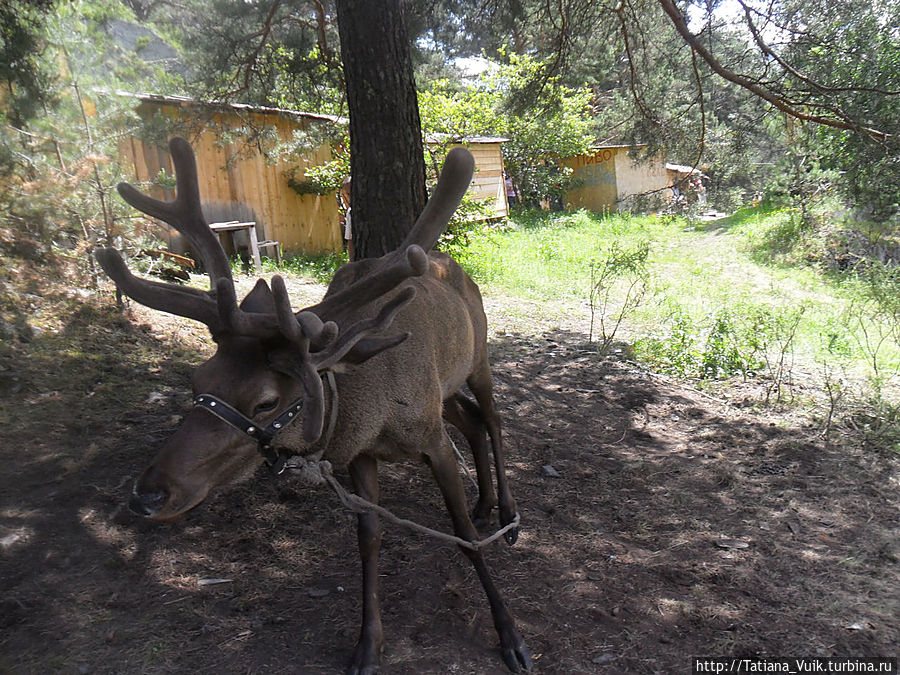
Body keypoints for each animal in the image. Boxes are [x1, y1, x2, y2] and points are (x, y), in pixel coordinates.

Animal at [96, 137, 536, 675]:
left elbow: (465, 534)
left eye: (267, 401)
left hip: (479, 357)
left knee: (492, 417)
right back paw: (486, 500)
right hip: (446, 387)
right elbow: (368, 537)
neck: (372, 411)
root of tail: (454, 268)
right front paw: (368, 646)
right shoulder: (362, 452)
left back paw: (507, 513)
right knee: (471, 421)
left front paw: (510, 635)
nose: (147, 495)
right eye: (197, 379)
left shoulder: (431, 438)